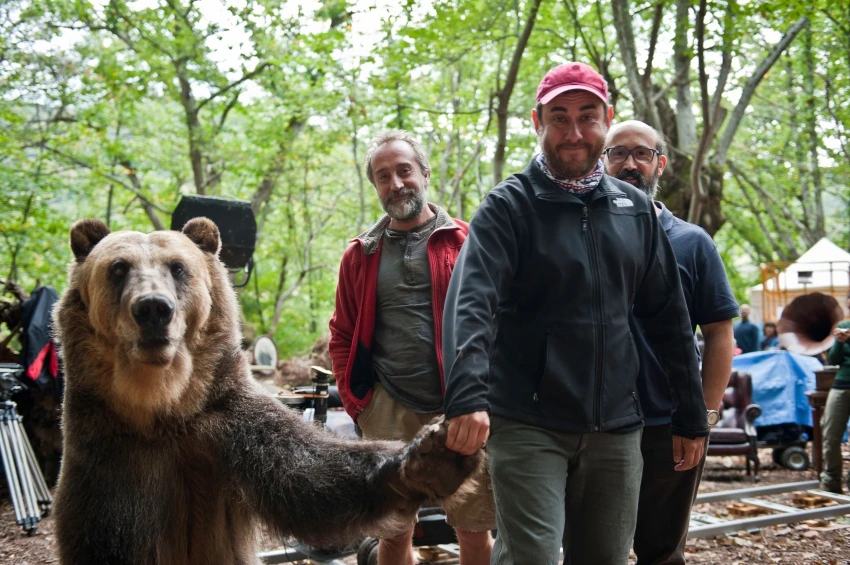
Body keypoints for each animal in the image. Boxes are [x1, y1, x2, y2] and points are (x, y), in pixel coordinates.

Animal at [54, 218, 484, 564]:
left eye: (178, 267)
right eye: (118, 268)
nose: (153, 309)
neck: (162, 408)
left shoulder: (227, 424)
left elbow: (312, 476)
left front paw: (432, 456)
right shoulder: (109, 459)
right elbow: (112, 536)